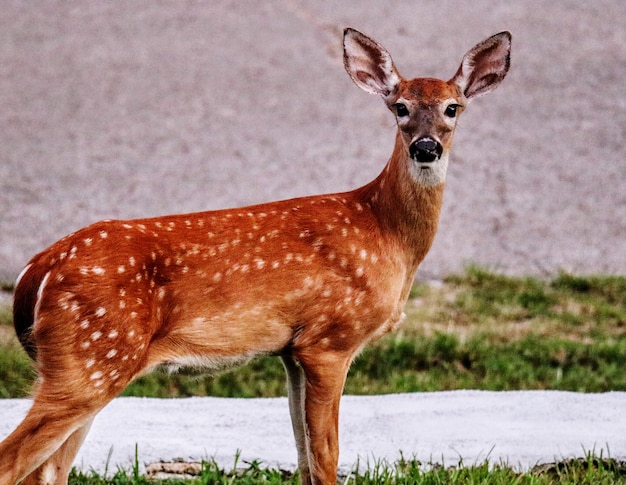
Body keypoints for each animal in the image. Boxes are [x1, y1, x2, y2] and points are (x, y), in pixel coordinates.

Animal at [0, 27, 510, 484]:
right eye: (400, 107)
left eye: (452, 108)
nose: (426, 147)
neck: (384, 232)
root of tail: (37, 269)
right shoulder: (330, 338)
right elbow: (327, 459)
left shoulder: (292, 350)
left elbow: (304, 458)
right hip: (92, 355)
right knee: (16, 463)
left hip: (85, 362)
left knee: (47, 471)